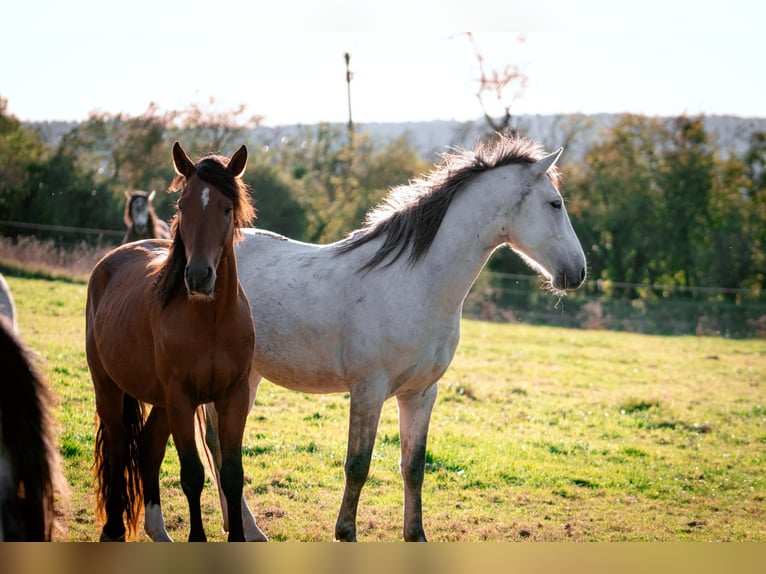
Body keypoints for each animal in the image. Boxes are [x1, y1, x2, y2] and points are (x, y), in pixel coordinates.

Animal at [86, 142, 256, 544]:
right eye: (183, 205)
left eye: (227, 208)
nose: (198, 276)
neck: (211, 321)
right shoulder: (181, 397)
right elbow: (193, 474)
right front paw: (197, 538)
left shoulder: (233, 395)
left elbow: (232, 473)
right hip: (109, 387)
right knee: (118, 446)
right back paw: (113, 528)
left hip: (162, 401)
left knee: (147, 448)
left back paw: (159, 532)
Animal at [146, 133, 588, 544]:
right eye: (555, 204)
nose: (577, 272)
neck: (414, 283)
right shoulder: (368, 390)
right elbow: (357, 465)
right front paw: (346, 532)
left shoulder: (421, 393)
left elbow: (414, 467)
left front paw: (415, 534)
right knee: (219, 447)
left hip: (244, 378)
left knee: (220, 446)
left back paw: (242, 527)